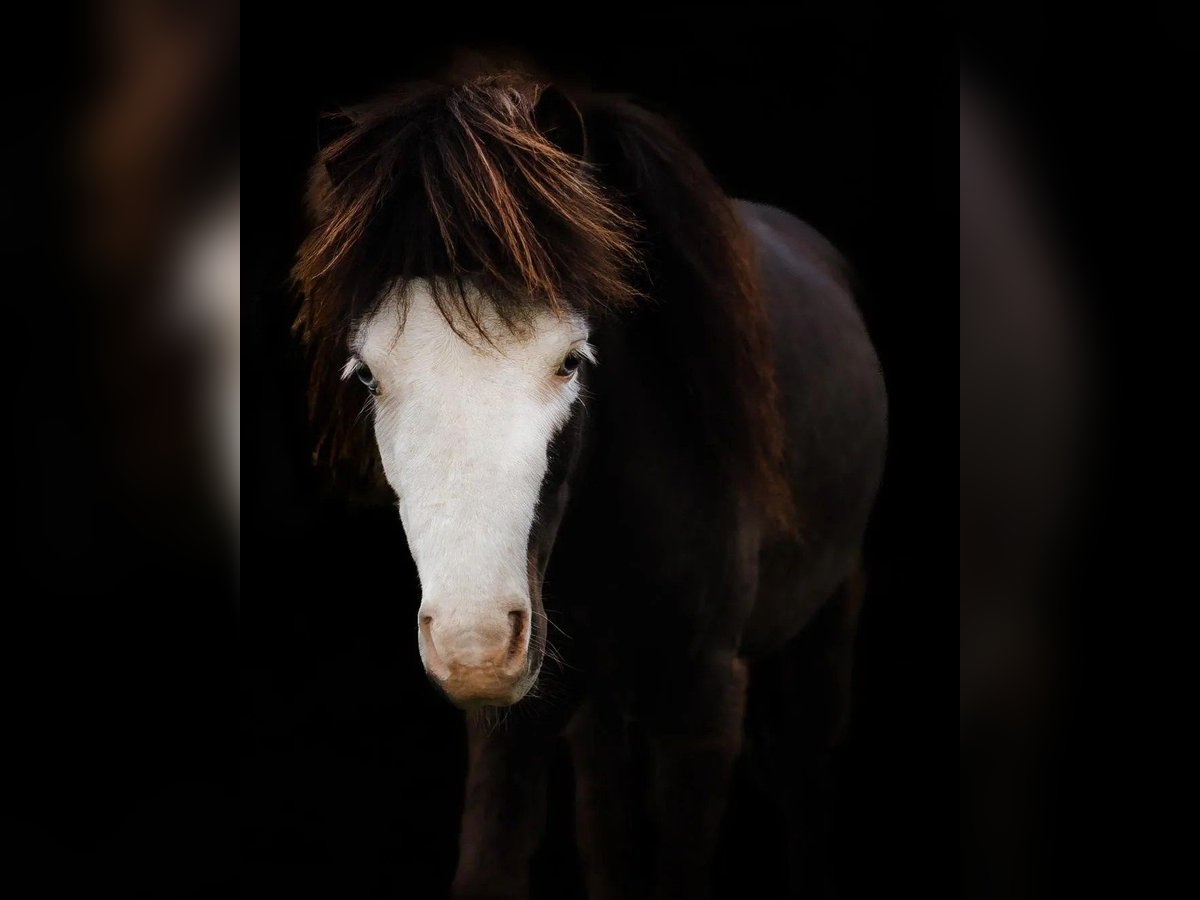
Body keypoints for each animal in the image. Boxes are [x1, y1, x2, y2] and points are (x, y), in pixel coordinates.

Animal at [294, 68, 888, 897]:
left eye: (571, 361)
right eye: (368, 375)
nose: (474, 645)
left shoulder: (706, 708)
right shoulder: (518, 728)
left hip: (830, 617)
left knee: (808, 779)